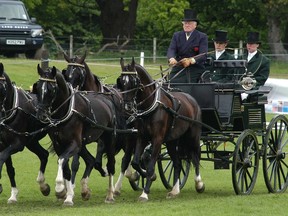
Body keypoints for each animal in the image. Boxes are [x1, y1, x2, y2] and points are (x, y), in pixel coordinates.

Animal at [0, 62, 50, 202]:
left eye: (1, 87)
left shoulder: (17, 144)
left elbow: (2, 158)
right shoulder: (4, 144)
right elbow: (10, 169)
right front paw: (13, 194)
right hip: (31, 142)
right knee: (44, 155)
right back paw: (44, 186)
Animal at [34, 64, 120, 206]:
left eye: (51, 90)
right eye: (37, 87)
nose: (41, 115)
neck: (66, 110)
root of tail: (106, 99)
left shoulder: (74, 144)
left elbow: (61, 160)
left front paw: (59, 188)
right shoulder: (60, 145)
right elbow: (66, 169)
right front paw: (68, 195)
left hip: (109, 139)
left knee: (111, 164)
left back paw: (110, 195)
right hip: (83, 144)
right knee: (90, 160)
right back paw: (85, 190)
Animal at [117, 58, 205, 202]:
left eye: (134, 81)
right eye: (121, 82)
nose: (127, 106)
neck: (151, 106)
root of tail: (192, 99)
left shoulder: (157, 139)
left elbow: (151, 165)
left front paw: (145, 193)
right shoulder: (141, 137)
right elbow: (135, 162)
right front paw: (147, 176)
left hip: (193, 136)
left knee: (195, 156)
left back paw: (199, 184)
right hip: (172, 141)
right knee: (177, 163)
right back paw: (175, 190)